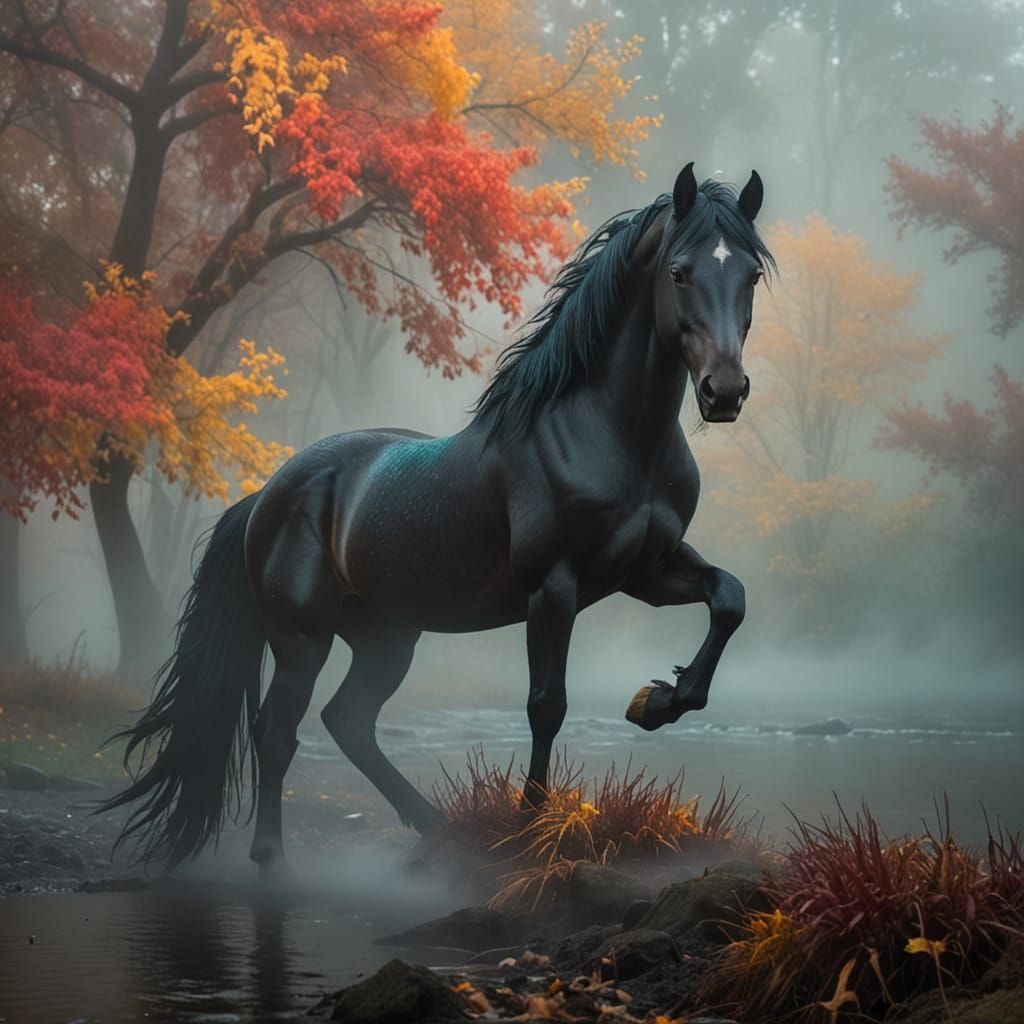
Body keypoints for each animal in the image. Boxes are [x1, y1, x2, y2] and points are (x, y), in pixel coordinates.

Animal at [100, 162, 775, 876]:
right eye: (678, 272)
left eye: (751, 276)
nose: (724, 391)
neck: (610, 435)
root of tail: (267, 493)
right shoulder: (554, 588)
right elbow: (547, 704)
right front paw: (530, 830)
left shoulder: (646, 571)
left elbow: (729, 599)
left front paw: (657, 702)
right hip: (300, 637)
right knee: (278, 730)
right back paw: (275, 859)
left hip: (385, 637)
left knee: (348, 721)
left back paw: (436, 828)